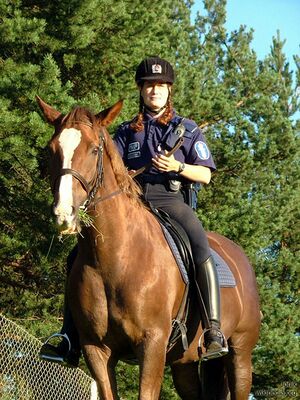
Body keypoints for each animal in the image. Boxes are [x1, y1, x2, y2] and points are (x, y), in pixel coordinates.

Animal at [37, 97, 260, 400]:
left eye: (94, 149)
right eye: (52, 150)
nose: (64, 213)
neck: (116, 258)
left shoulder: (152, 345)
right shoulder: (96, 350)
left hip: (240, 355)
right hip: (184, 363)